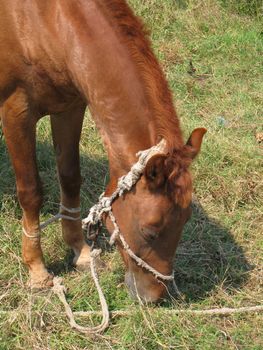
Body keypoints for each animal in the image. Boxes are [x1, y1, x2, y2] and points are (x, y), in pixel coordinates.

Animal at [0, 0, 206, 302]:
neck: (45, 20)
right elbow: (30, 192)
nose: (155, 296)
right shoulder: (16, 112)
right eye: (150, 231)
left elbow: (70, 177)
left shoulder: (70, 106)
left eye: (185, 220)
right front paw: (37, 269)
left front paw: (81, 251)